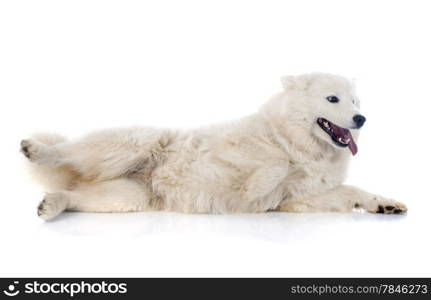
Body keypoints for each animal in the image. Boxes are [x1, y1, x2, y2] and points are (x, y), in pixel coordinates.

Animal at [22, 71, 408, 219]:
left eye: (355, 101)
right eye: (332, 99)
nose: (361, 119)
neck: (297, 142)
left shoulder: (301, 199)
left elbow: (352, 191)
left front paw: (385, 205)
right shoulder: (231, 152)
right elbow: (276, 164)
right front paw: (256, 187)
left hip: (125, 197)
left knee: (75, 197)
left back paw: (51, 205)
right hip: (132, 144)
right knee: (67, 151)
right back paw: (35, 149)